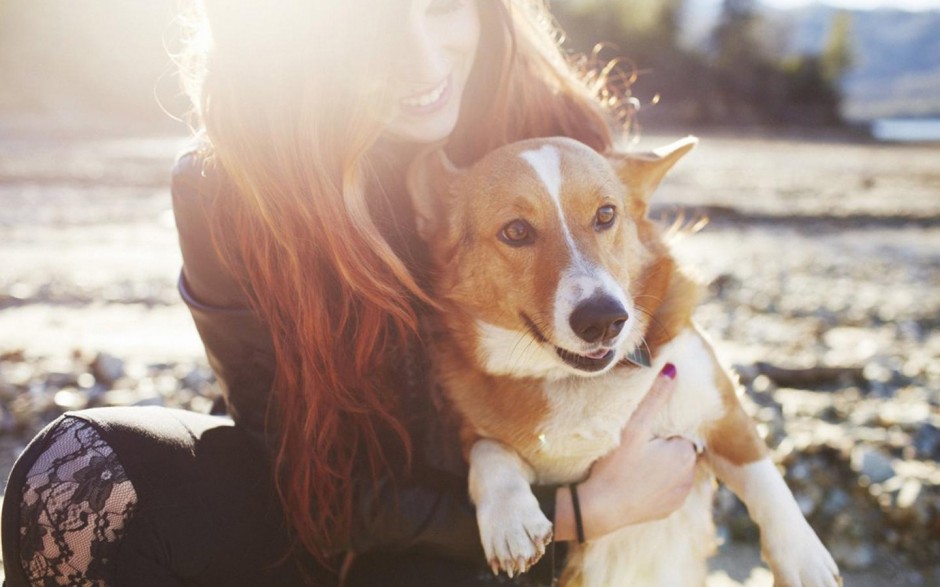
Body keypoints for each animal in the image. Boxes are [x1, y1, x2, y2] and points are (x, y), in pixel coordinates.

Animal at [408, 137, 840, 587]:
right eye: (516, 231)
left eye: (605, 214)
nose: (602, 319)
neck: (575, 380)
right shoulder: (469, 434)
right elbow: (489, 452)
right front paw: (510, 520)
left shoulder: (722, 412)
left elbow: (765, 479)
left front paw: (804, 560)